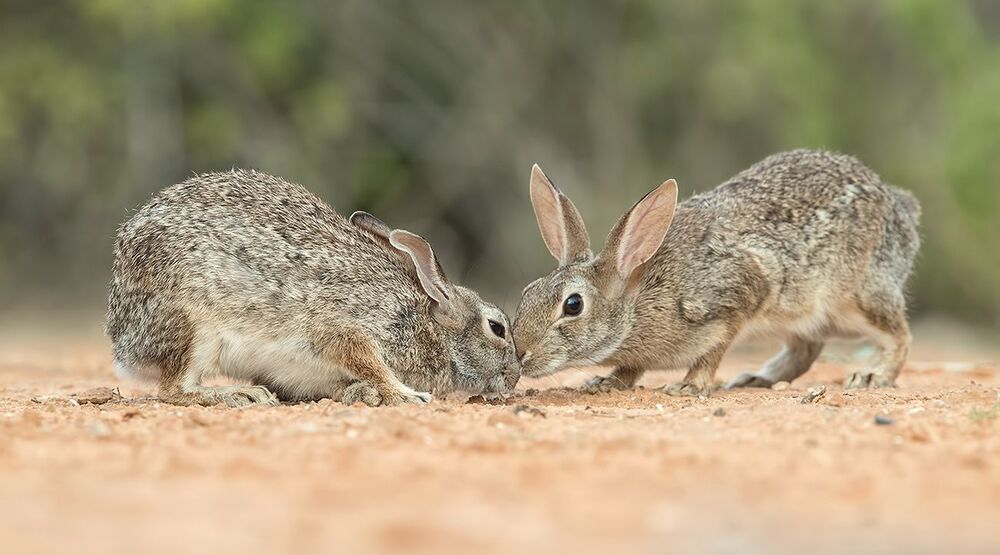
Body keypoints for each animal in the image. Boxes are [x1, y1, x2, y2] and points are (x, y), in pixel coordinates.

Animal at [107, 169, 520, 407]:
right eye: (496, 327)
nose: (515, 377)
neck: (429, 328)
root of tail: (123, 340)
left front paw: (361, 395)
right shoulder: (346, 327)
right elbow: (367, 360)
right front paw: (407, 394)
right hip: (194, 327)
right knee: (173, 389)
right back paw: (240, 394)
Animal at [513, 149, 921, 396]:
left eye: (573, 305)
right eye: (528, 292)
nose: (519, 353)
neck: (638, 301)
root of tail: (900, 208)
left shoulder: (736, 297)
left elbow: (712, 351)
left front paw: (688, 387)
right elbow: (632, 367)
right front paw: (605, 383)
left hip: (855, 300)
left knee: (899, 335)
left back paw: (872, 375)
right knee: (807, 348)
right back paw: (756, 379)